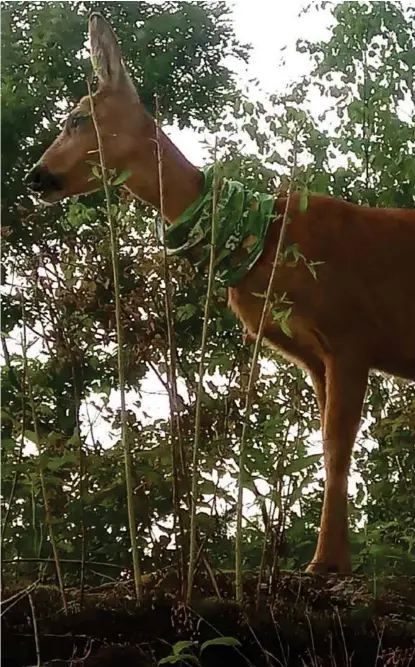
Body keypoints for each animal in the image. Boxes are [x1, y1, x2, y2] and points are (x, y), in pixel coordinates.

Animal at [26, 11, 415, 576]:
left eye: (76, 119)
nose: (35, 176)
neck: (265, 240)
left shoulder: (351, 333)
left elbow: (339, 444)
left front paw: (326, 562)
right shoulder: (314, 356)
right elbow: (328, 446)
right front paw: (333, 558)